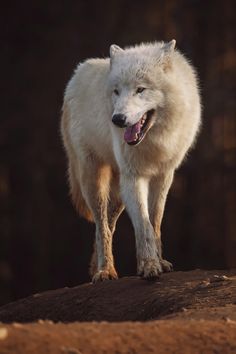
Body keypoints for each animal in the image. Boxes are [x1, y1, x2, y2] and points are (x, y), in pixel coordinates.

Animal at [61, 39, 201, 282]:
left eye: (140, 89)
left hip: (119, 192)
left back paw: (96, 266)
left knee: (108, 225)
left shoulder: (164, 176)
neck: (154, 139)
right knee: (101, 225)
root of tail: (77, 74)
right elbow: (143, 226)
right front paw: (149, 266)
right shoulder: (134, 177)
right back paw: (105, 270)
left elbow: (154, 221)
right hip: (95, 180)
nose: (117, 119)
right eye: (116, 91)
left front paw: (159, 262)